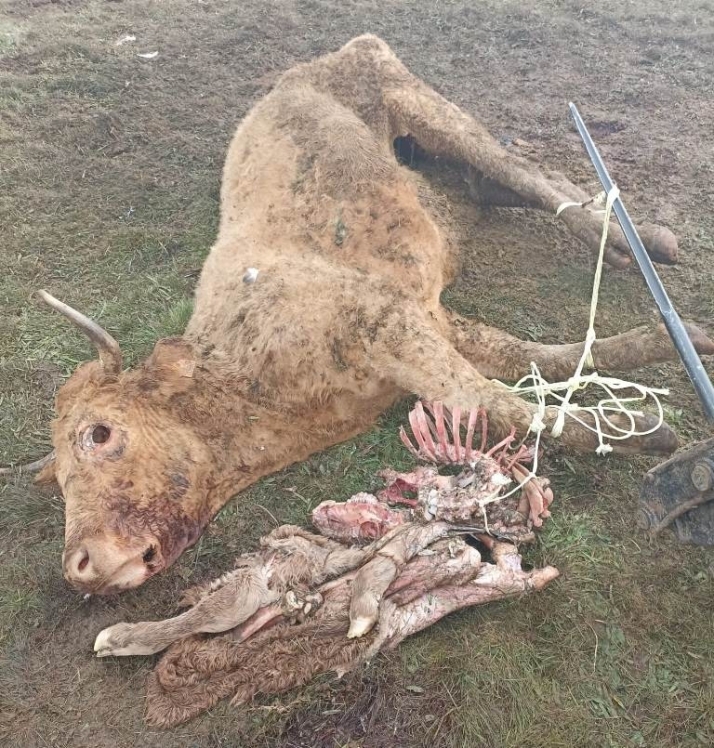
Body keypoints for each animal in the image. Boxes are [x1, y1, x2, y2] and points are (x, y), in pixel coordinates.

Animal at [7, 35, 712, 595]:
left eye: (100, 433)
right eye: (60, 481)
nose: (81, 566)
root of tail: (337, 52)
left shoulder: (385, 321)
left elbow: (493, 399)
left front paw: (647, 432)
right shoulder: (428, 318)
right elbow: (532, 361)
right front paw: (674, 345)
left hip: (435, 111)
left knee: (530, 176)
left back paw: (645, 242)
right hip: (445, 173)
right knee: (502, 188)